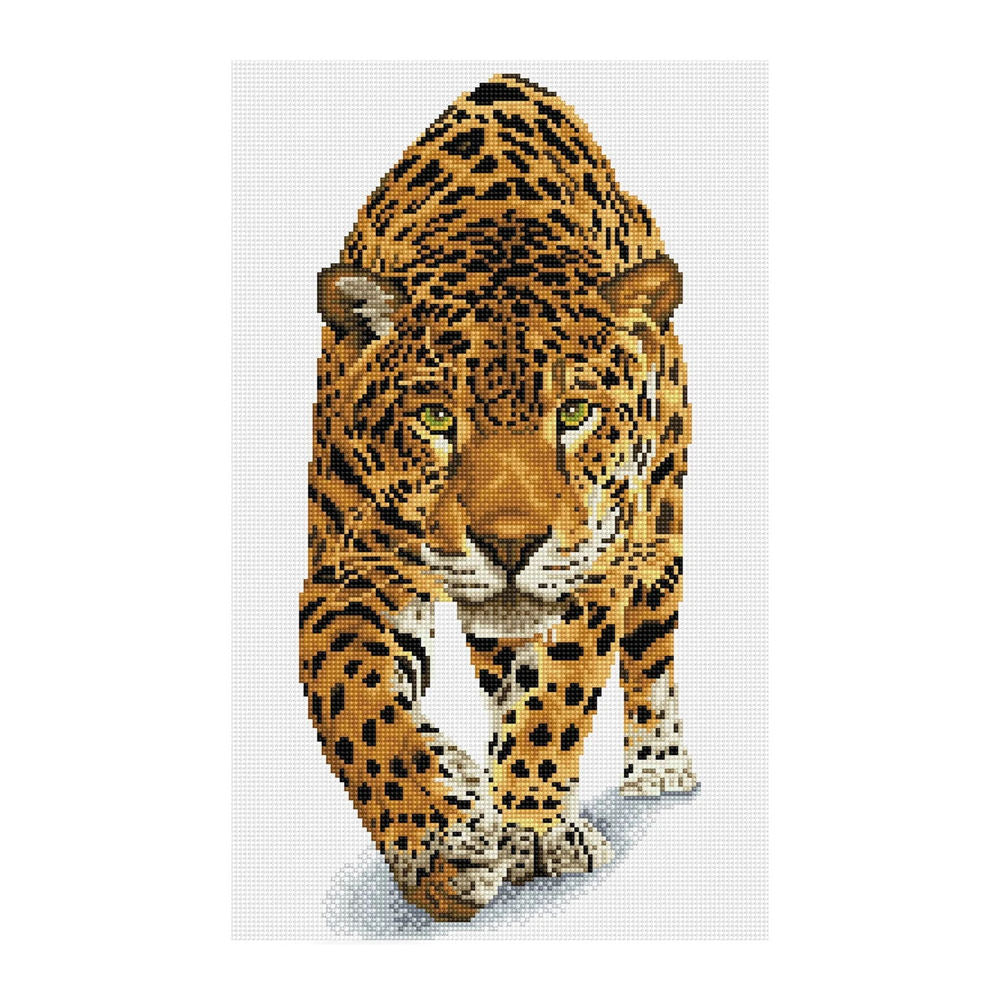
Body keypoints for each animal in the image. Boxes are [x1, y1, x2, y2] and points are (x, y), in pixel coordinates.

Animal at [300, 73, 697, 922]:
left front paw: (533, 828)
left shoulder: (598, 566)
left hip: (662, 524)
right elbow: (359, 708)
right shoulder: (350, 574)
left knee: (651, 646)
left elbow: (560, 695)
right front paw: (441, 848)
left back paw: (657, 762)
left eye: (574, 415)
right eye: (435, 418)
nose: (510, 544)